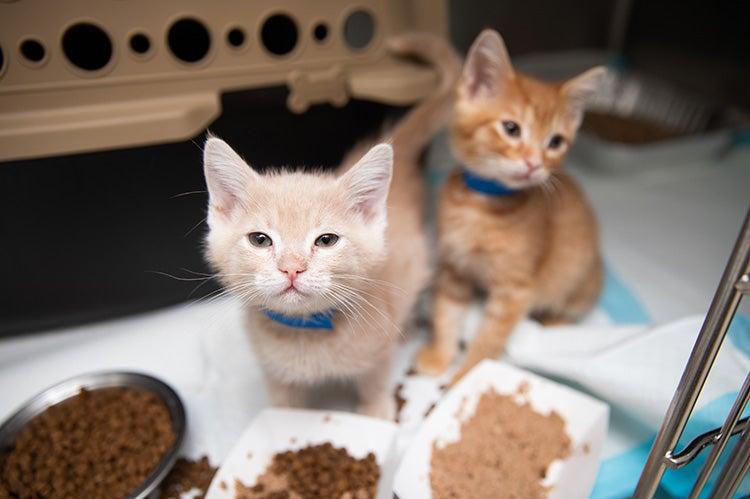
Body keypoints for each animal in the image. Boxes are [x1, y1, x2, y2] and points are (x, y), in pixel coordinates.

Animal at [203, 34, 462, 418]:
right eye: (260, 239)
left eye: (326, 240)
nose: (291, 268)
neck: (306, 332)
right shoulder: (275, 373)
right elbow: (282, 408)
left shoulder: (378, 351)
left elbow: (375, 384)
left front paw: (376, 412)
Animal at [420, 30, 608, 382]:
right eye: (511, 128)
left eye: (555, 142)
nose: (534, 163)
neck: (480, 205)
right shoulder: (454, 268)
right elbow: (446, 313)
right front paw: (440, 355)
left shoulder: (515, 290)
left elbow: (488, 338)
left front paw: (466, 377)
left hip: (579, 277)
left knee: (570, 309)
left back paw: (554, 321)